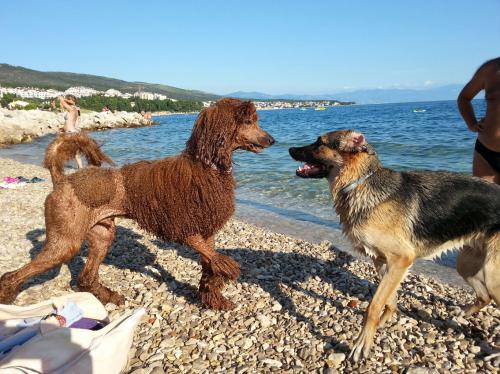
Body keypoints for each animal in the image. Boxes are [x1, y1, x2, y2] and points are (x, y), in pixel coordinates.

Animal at [0, 98, 274, 308]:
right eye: (248, 121)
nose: (272, 140)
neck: (205, 166)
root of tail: (61, 180)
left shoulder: (207, 230)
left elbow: (209, 264)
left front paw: (213, 296)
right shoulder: (183, 227)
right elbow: (210, 255)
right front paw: (227, 268)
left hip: (102, 235)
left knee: (86, 278)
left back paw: (108, 296)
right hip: (65, 242)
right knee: (17, 274)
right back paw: (8, 297)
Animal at [290, 130, 500, 360]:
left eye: (320, 143)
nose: (289, 149)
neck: (360, 182)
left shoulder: (400, 260)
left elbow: (374, 306)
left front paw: (362, 343)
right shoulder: (383, 262)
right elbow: (388, 301)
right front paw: (381, 324)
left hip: (492, 275)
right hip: (467, 265)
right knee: (484, 296)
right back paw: (458, 316)